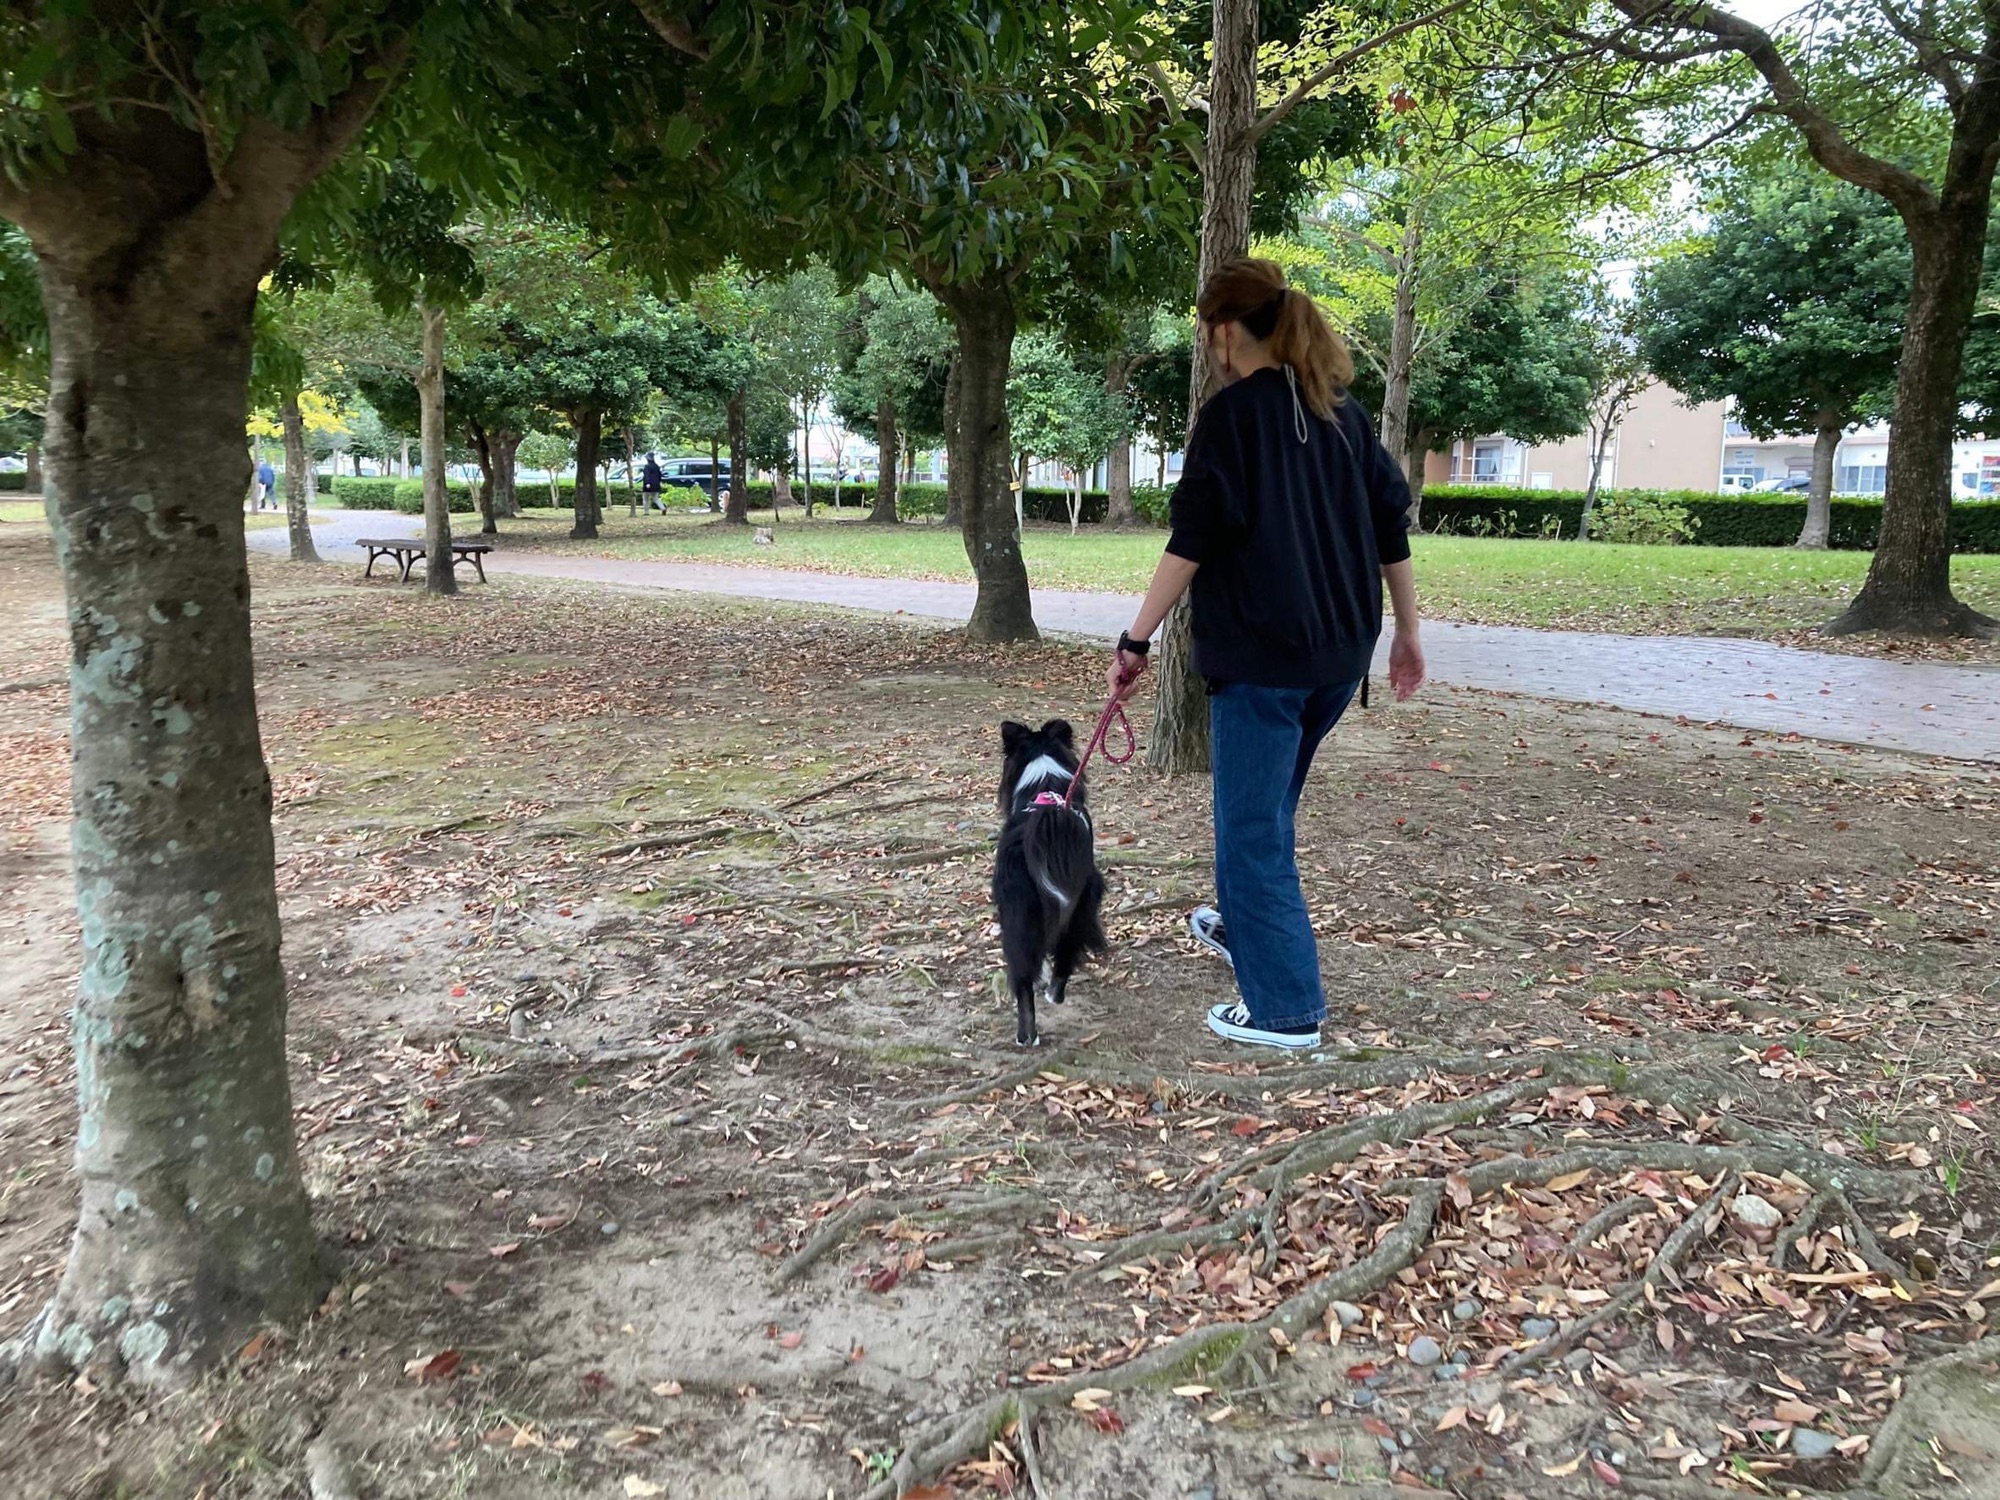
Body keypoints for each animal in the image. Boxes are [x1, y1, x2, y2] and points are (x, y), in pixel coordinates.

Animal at [996, 724, 1112, 1048]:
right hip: (1077, 902)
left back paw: (1026, 1035)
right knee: (1064, 950)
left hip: (1018, 912)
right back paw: (1053, 996)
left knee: (1023, 975)